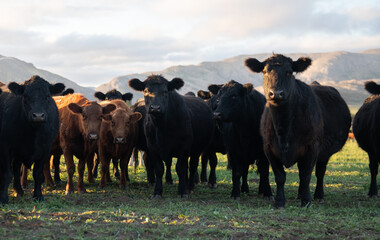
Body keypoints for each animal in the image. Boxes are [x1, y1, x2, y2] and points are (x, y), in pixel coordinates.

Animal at [246, 53, 350, 207]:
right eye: (265, 71)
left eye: (289, 72)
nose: (276, 93)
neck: (284, 129)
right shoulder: (269, 148)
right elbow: (280, 176)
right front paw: (279, 201)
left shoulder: (312, 147)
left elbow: (306, 175)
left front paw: (306, 201)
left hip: (324, 152)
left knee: (320, 172)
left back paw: (318, 195)